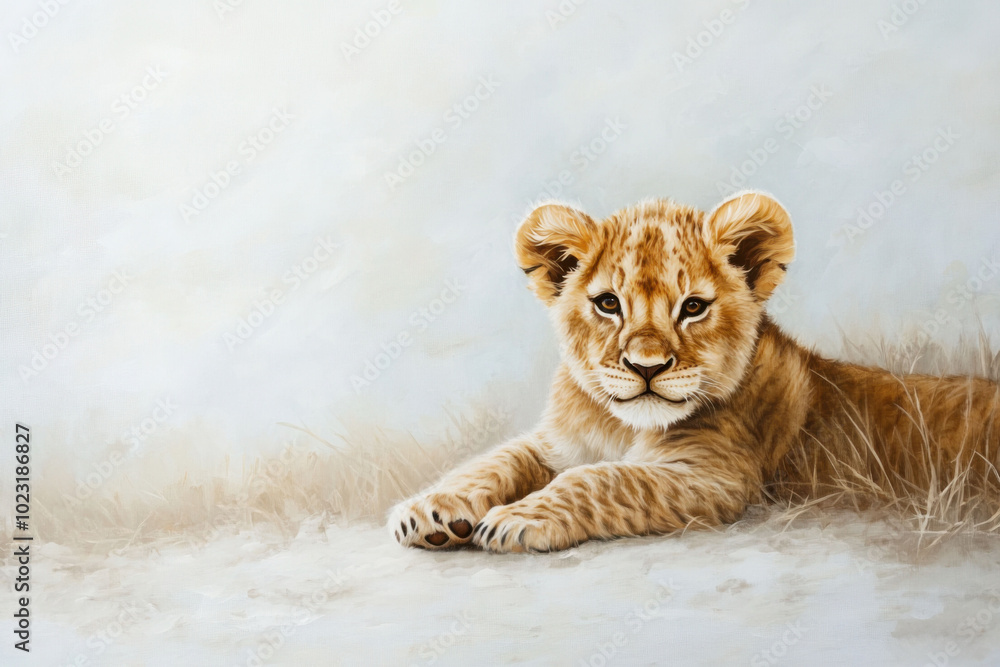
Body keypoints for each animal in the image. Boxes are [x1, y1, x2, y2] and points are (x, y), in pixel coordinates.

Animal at [388, 190, 1000, 553]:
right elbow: (496, 458)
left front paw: (515, 519)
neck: (620, 425)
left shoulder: (717, 478)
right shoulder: (558, 443)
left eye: (693, 307)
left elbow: (603, 479)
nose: (647, 367)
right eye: (608, 304)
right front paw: (431, 511)